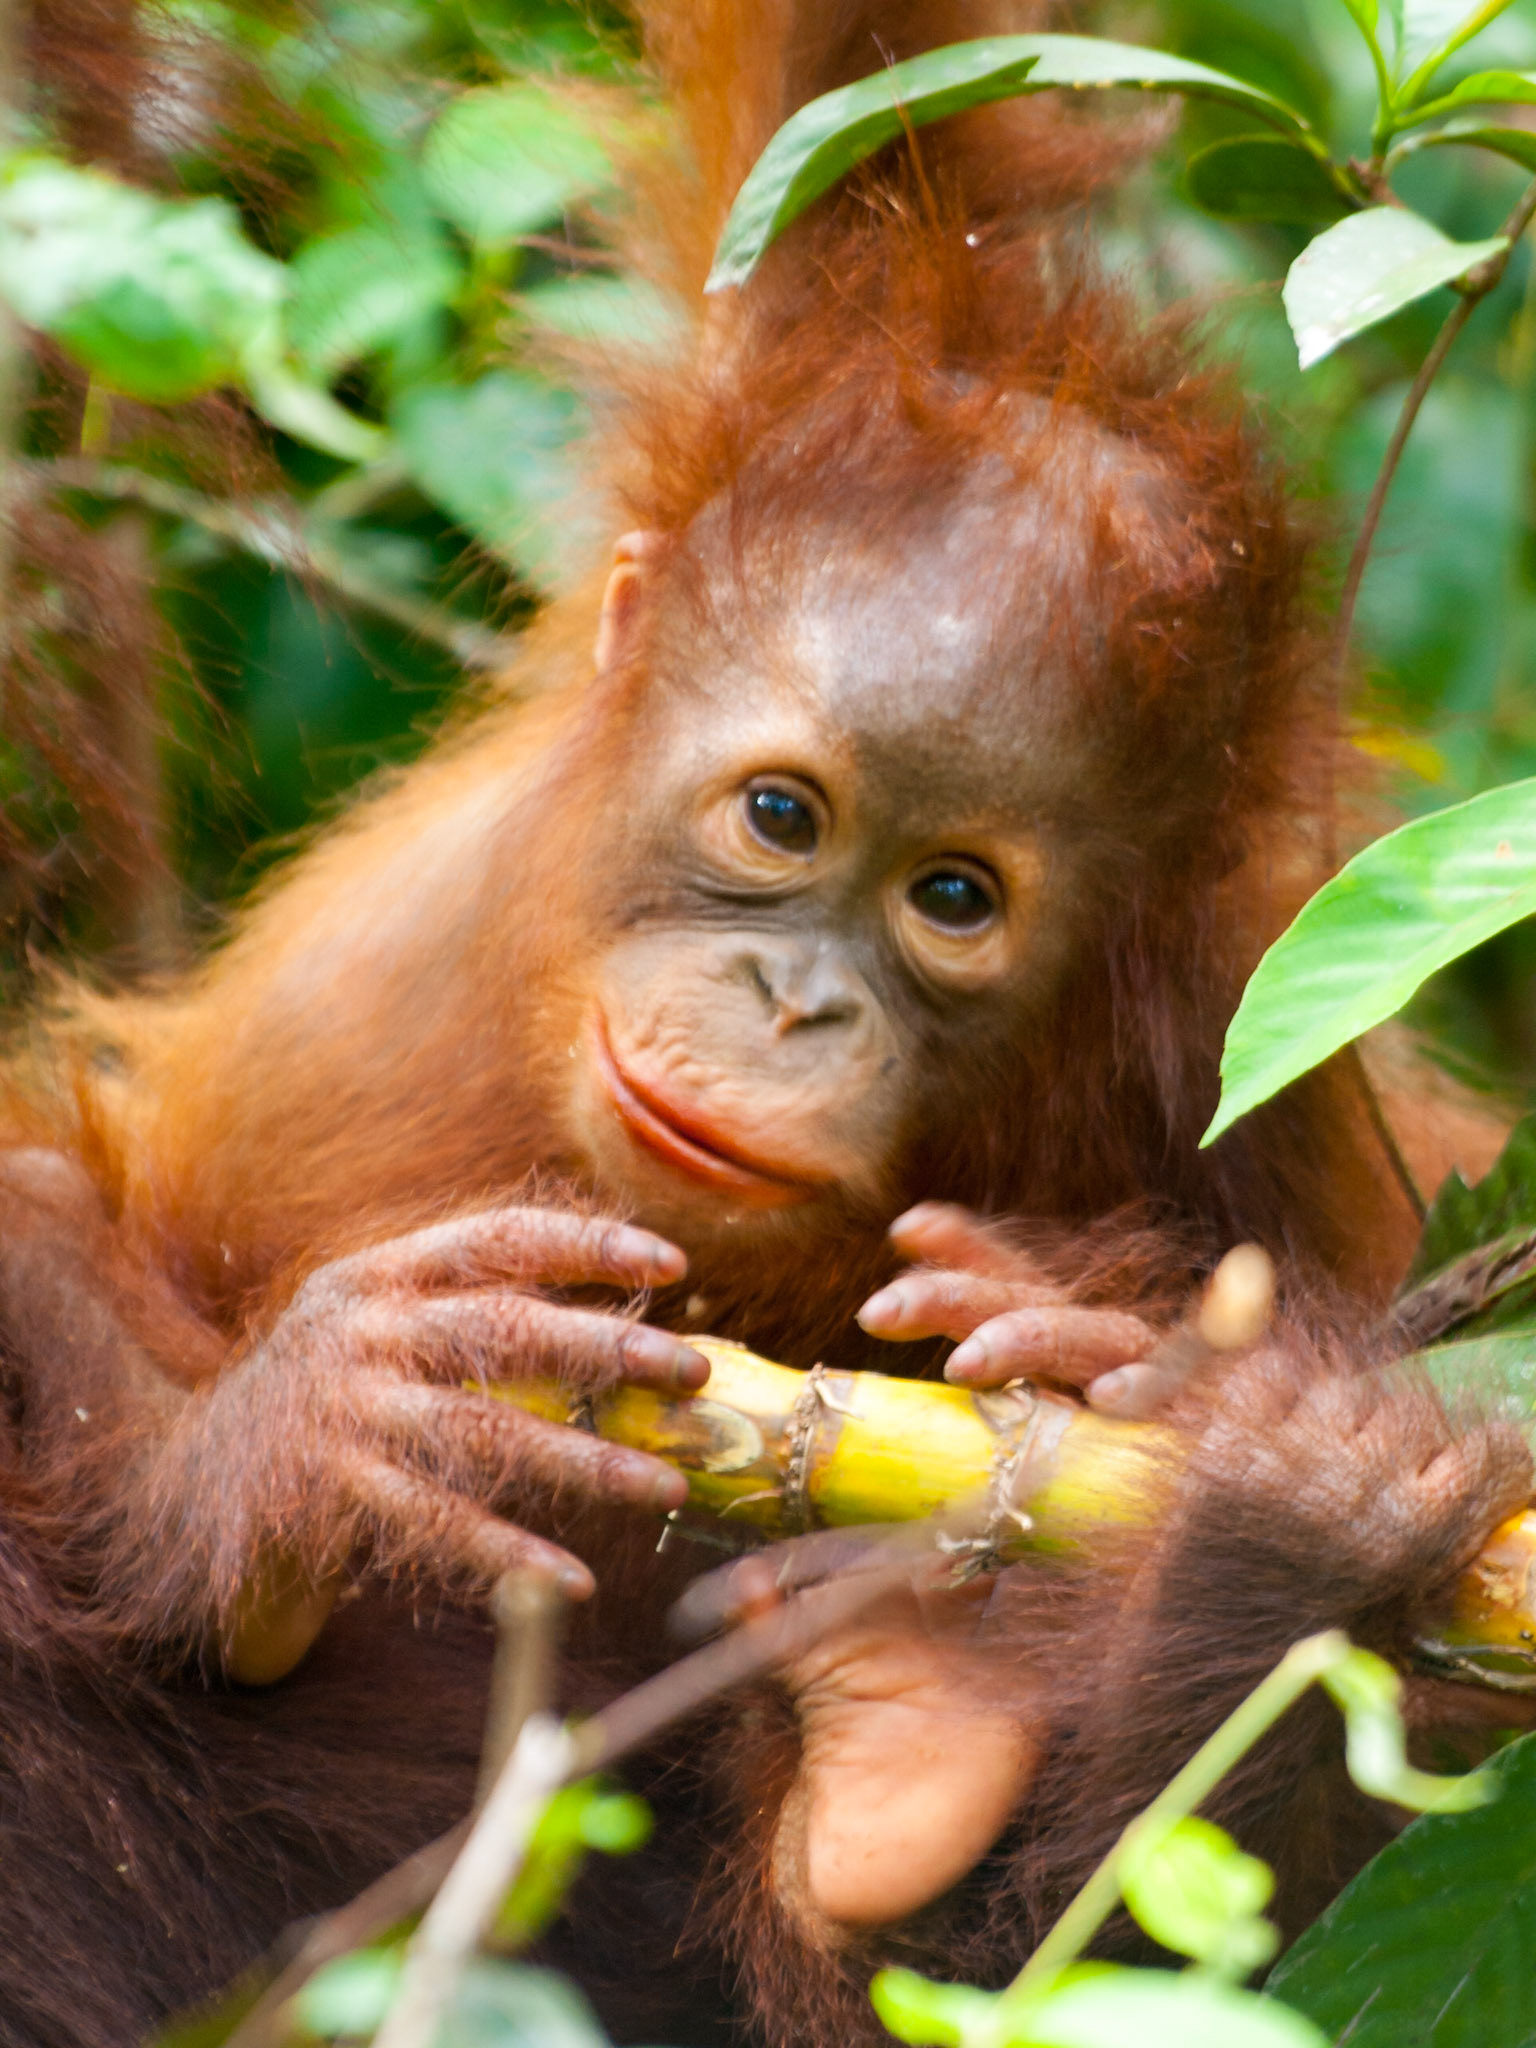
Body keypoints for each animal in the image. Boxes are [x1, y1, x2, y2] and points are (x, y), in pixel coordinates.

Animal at [0, 3, 1526, 2045]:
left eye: (952, 899)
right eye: (784, 817)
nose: (795, 1003)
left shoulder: (1266, 1061)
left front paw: (1113, 1347)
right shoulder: (816, 272)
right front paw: (301, 1427)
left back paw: (966, 1707)